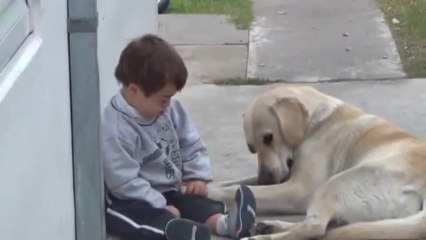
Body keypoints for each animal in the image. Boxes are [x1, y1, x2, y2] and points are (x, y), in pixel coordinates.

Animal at [208, 85, 426, 239]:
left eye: (268, 138)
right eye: (252, 148)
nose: (265, 180)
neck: (315, 122)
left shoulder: (298, 189)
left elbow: (237, 189)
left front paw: (209, 192)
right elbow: (236, 182)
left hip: (334, 184)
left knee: (315, 228)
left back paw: (263, 237)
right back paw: (270, 226)